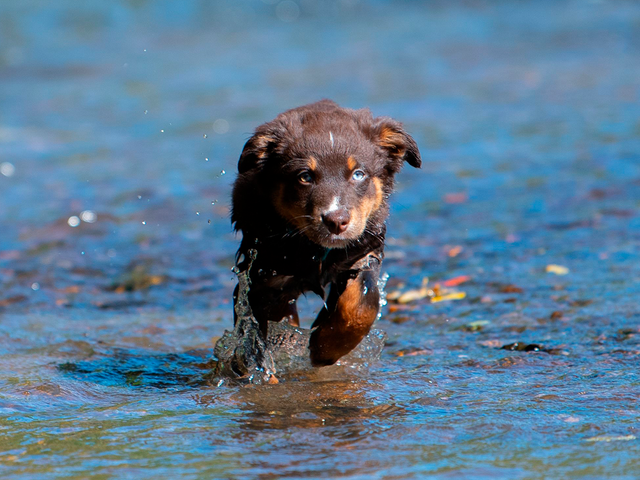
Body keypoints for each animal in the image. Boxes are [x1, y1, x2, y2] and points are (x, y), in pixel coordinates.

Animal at [232, 99, 422, 366]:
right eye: (305, 177)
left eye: (358, 174)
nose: (336, 221)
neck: (317, 251)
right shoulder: (263, 273)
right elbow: (259, 334)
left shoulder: (361, 254)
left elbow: (361, 307)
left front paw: (325, 348)